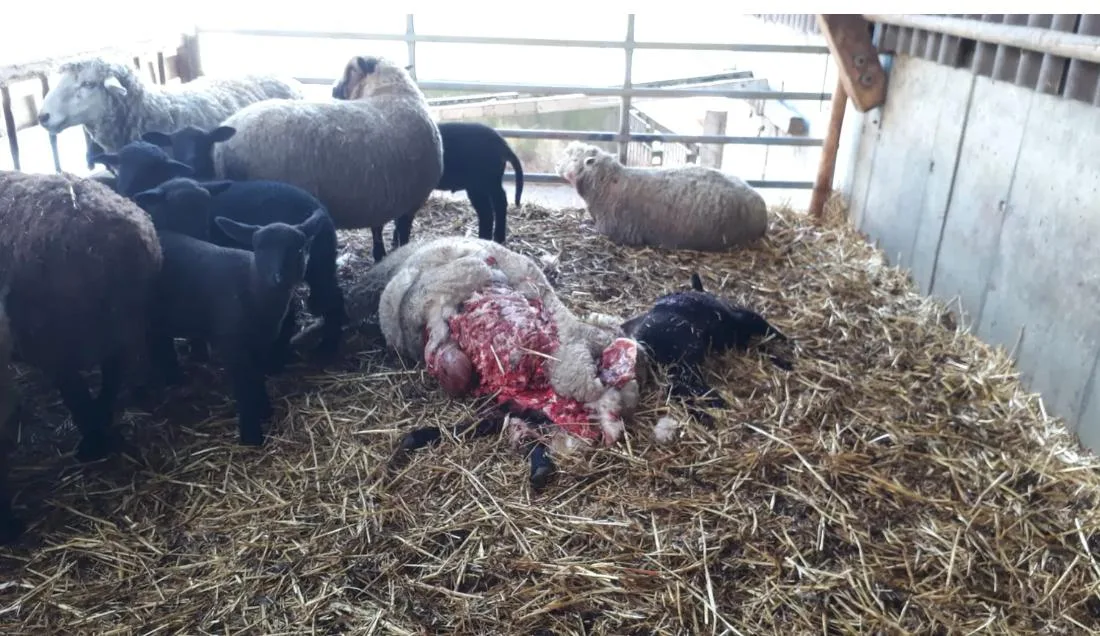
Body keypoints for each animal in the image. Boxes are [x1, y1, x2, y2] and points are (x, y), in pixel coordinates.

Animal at [109, 135, 346, 359]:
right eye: (121, 164)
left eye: (153, 167)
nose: (126, 190)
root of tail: (320, 210)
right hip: (319, 263)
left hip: (315, 264)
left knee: (331, 300)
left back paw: (324, 348)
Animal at [132, 177, 327, 446]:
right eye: (258, 248)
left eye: (298, 250)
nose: (278, 278)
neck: (252, 285)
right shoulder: (232, 344)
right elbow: (244, 387)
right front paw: (251, 435)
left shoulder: (259, 343)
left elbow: (257, 378)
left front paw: (265, 410)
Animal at [212, 55, 443, 264]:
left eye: (350, 71)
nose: (333, 90)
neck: (390, 92)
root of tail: (223, 149)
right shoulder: (404, 199)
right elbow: (396, 233)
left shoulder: (386, 198)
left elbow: (381, 231)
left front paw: (381, 255)